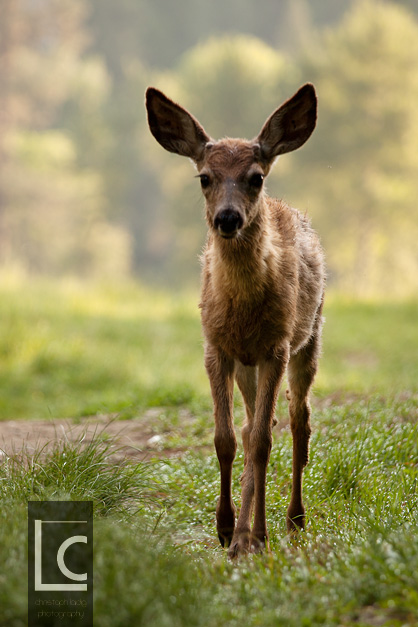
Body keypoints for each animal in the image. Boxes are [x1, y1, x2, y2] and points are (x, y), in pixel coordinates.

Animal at [145, 83, 324, 560]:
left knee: (297, 420)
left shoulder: (276, 346)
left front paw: (252, 536)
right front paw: (226, 529)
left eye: (256, 177)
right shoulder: (216, 347)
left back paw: (291, 520)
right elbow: (226, 438)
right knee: (250, 428)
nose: (228, 218)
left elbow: (262, 443)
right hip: (247, 365)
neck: (242, 310)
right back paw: (246, 532)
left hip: (308, 338)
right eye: (204, 177)